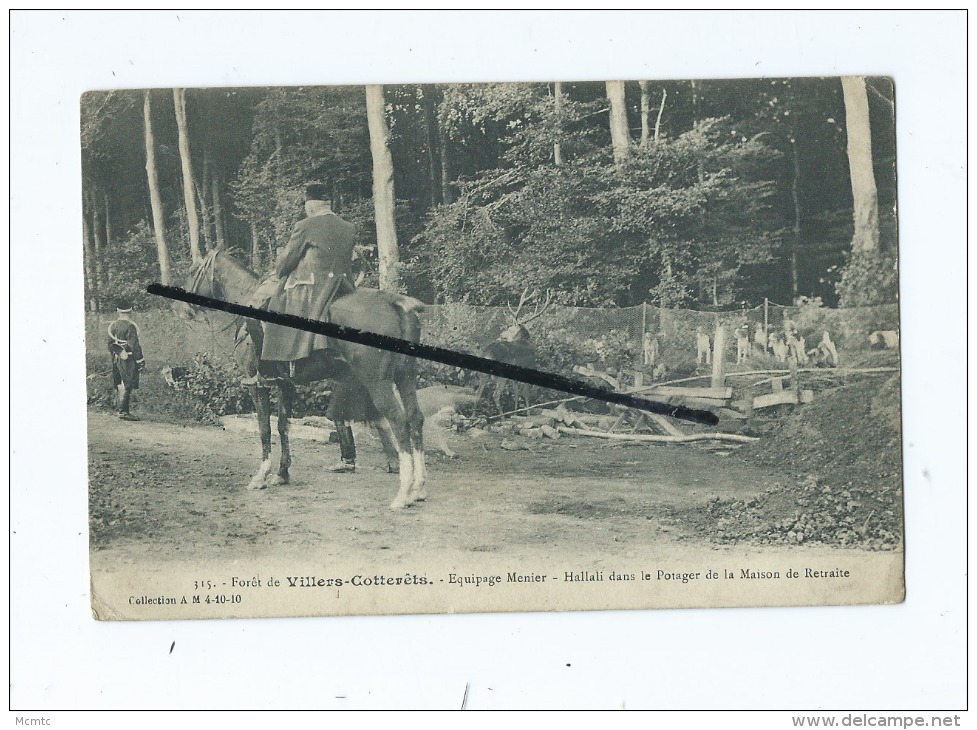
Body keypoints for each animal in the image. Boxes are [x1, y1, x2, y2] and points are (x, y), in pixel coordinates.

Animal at [178, 247, 428, 510]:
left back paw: (403, 493)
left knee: (398, 421)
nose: (183, 310)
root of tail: (395, 302)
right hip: (405, 377)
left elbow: (265, 429)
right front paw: (282, 473)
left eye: (192, 271)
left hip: (377, 382)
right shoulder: (284, 384)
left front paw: (261, 476)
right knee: (415, 419)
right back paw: (418, 489)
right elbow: (282, 426)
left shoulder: (256, 384)